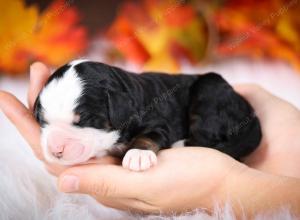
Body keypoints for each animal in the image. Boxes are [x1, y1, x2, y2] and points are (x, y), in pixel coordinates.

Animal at [34, 59, 262, 171]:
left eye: (85, 120)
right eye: (43, 121)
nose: (56, 150)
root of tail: (251, 115)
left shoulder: (157, 122)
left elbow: (147, 136)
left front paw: (138, 154)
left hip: (210, 90)